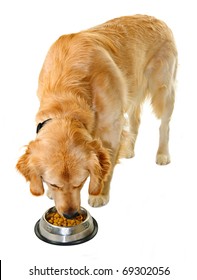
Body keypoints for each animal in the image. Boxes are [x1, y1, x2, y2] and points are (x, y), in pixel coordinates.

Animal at [16, 14, 178, 218]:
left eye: (80, 182)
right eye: (53, 183)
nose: (70, 215)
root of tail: (158, 19)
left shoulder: (111, 126)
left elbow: (106, 166)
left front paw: (99, 194)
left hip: (162, 89)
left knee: (165, 125)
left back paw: (162, 154)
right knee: (136, 120)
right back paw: (129, 149)